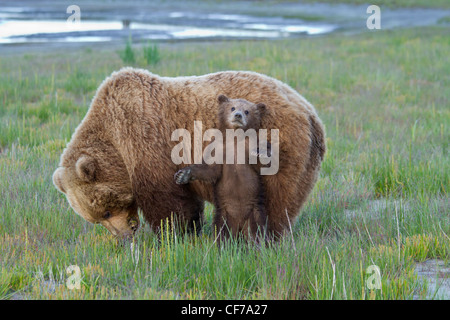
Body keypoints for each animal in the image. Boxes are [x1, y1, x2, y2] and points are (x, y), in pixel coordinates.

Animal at [52, 67, 326, 238]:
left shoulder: (146, 137)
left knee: (276, 200)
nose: (125, 236)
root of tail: (311, 114)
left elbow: (166, 199)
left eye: (106, 211)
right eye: (96, 219)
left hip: (282, 146)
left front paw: (173, 235)